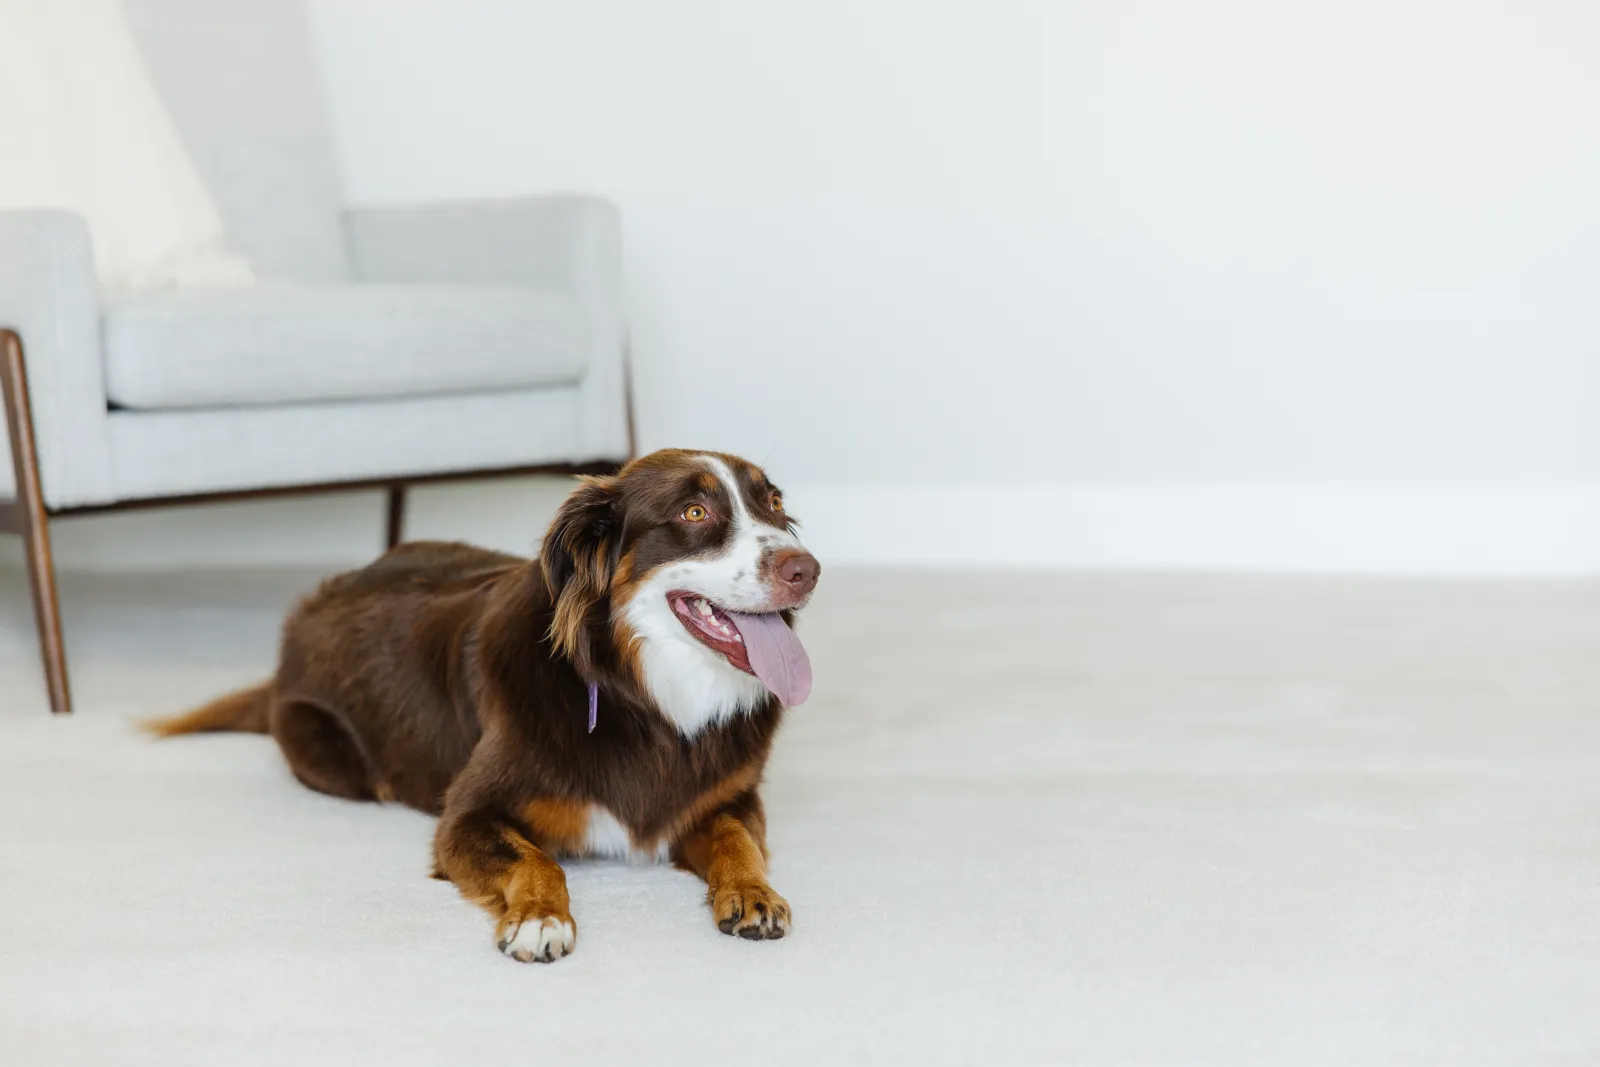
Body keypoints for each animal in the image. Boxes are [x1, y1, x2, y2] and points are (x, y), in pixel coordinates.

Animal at [147, 447, 825, 966]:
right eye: (695, 512)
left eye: (774, 504)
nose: (808, 569)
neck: (645, 699)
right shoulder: (467, 814)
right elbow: (537, 859)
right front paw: (540, 919)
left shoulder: (732, 795)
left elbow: (738, 838)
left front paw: (753, 891)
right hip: (325, 750)